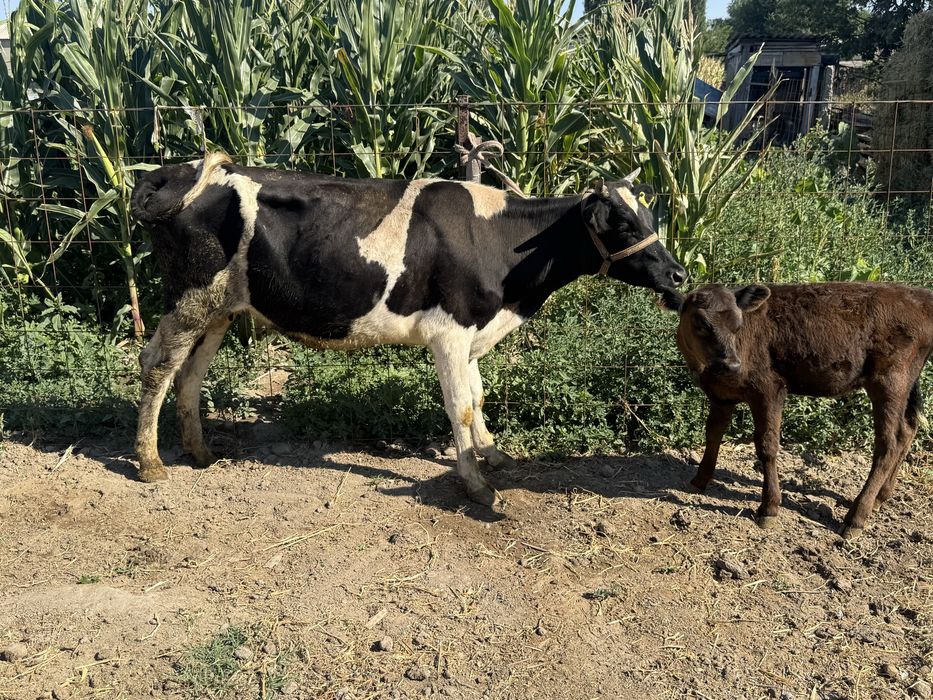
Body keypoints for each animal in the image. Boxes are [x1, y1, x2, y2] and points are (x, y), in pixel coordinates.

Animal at [130, 153, 686, 506]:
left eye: (650, 215)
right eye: (622, 223)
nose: (679, 274)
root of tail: (178, 171)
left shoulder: (473, 332)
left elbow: (478, 396)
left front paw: (493, 453)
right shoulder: (450, 331)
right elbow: (460, 405)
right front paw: (477, 485)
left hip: (219, 309)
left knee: (188, 374)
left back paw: (200, 452)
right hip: (190, 298)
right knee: (156, 365)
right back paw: (150, 463)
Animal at [660, 282, 933, 538]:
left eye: (738, 323)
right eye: (701, 323)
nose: (732, 365)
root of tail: (921, 295)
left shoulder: (769, 389)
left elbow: (767, 446)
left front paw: (769, 508)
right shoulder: (721, 396)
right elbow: (713, 433)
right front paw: (699, 480)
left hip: (890, 380)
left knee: (888, 444)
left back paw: (856, 518)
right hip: (905, 382)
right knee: (907, 429)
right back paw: (881, 497)